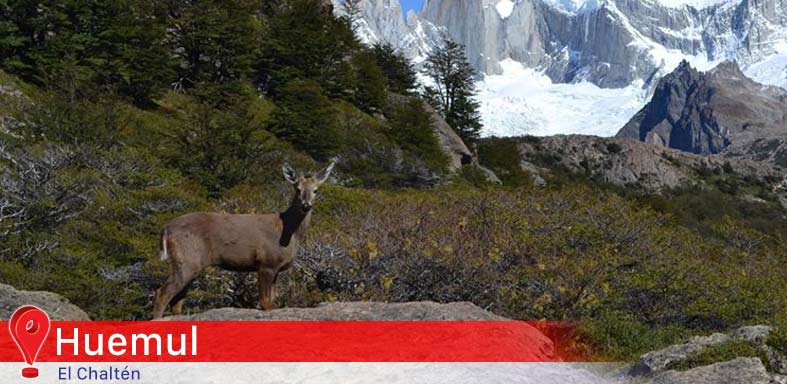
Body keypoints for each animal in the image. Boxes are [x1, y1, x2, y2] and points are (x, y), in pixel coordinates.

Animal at [152, 159, 334, 318]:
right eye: (297, 189)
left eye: (316, 190)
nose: (306, 205)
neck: (288, 230)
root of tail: (166, 228)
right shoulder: (266, 263)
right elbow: (266, 304)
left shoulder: (275, 268)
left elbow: (272, 302)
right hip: (187, 258)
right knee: (162, 293)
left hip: (192, 264)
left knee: (177, 301)